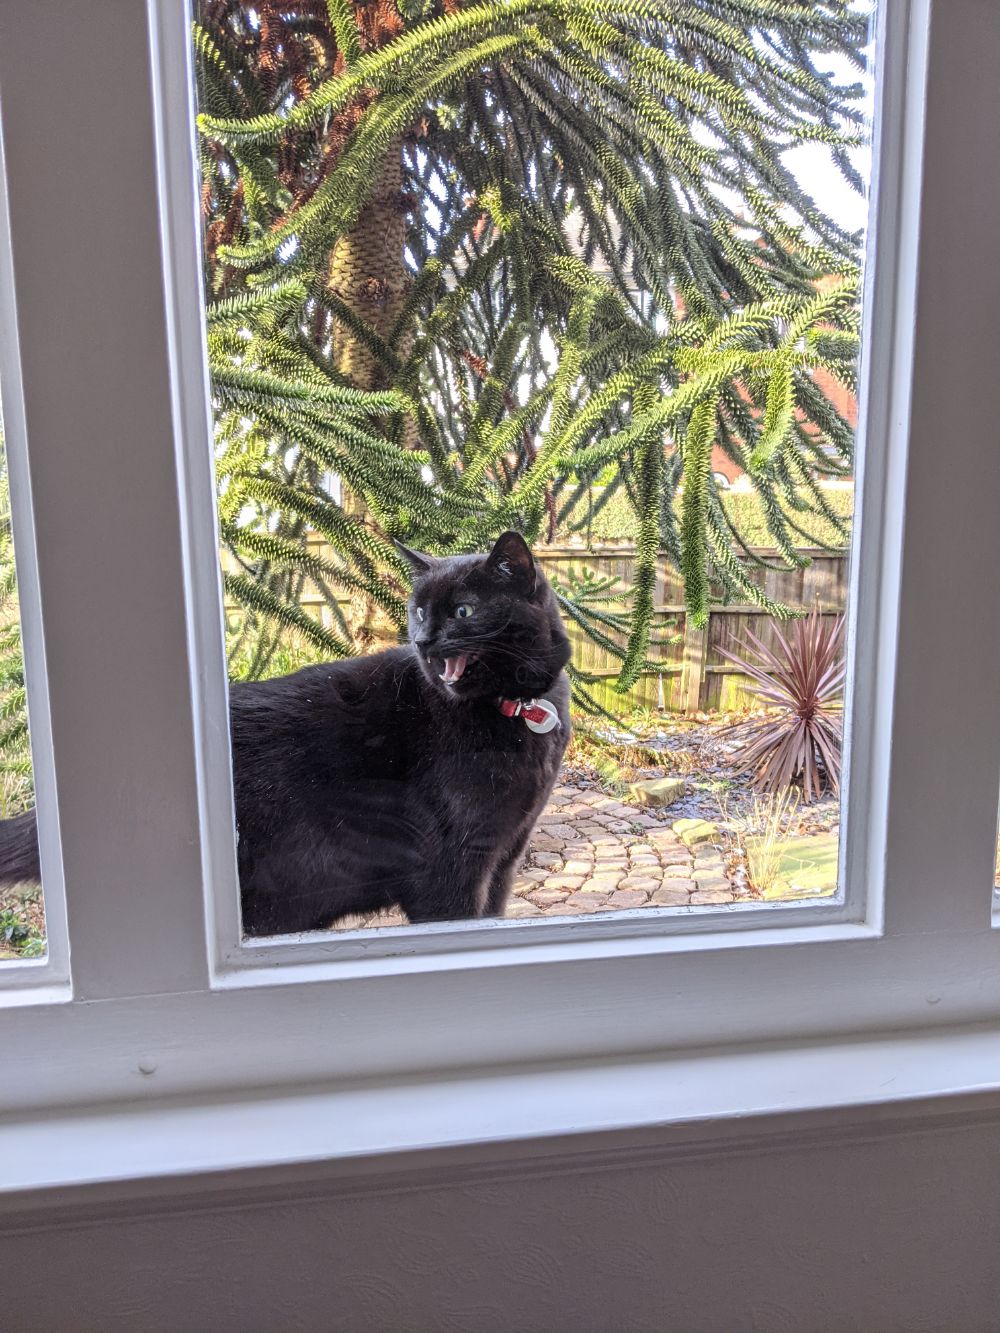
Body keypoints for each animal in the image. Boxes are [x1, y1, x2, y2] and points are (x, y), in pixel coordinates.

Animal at [0, 533, 570, 938]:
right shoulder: (450, 865)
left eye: (463, 611)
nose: (424, 640)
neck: (517, 710)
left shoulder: (505, 855)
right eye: (420, 610)